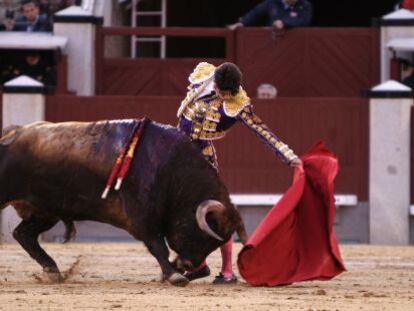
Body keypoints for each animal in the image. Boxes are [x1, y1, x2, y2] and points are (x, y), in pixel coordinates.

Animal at [0, 119, 246, 288]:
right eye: (202, 235)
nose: (188, 265)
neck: (172, 171)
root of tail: (9, 134)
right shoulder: (141, 218)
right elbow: (158, 246)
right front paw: (174, 275)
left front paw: (172, 271)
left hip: (45, 211)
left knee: (24, 234)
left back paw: (52, 270)